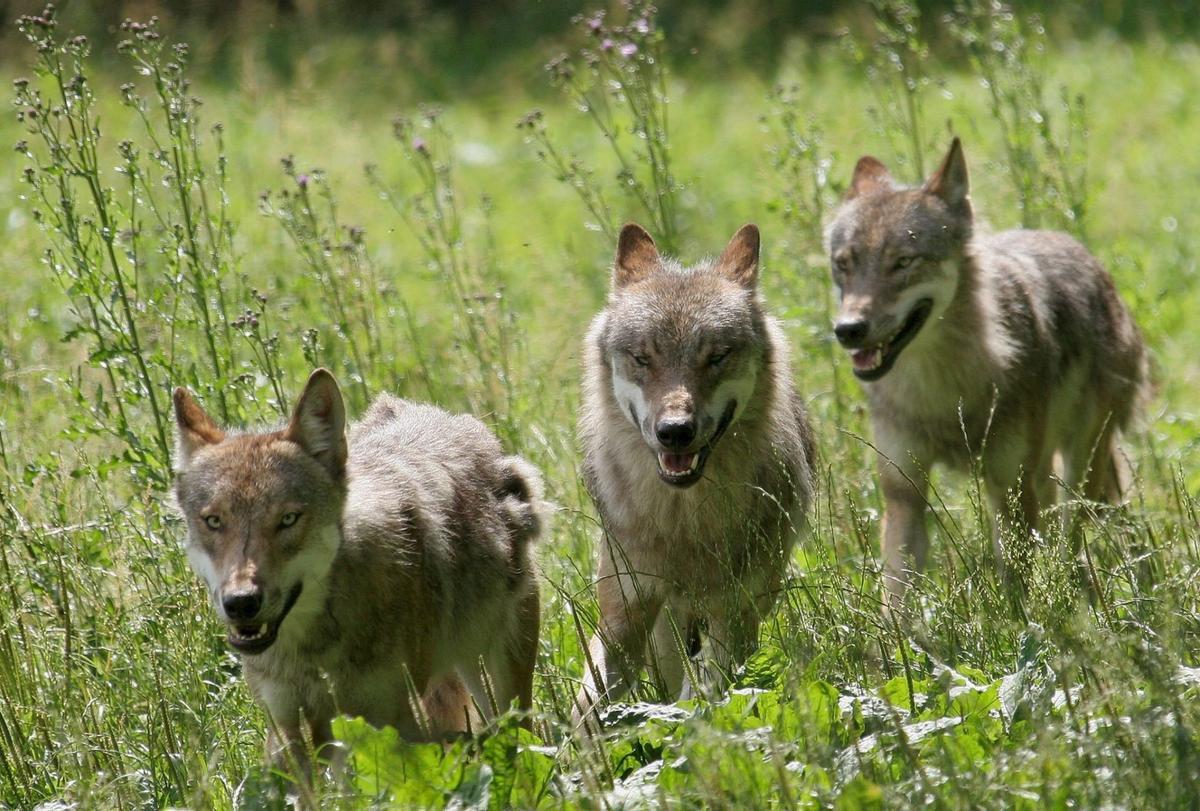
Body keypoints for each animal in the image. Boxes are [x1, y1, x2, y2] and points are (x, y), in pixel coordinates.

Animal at [172, 369, 543, 770]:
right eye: (213, 521)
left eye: (288, 519)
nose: (241, 602)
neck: (312, 648)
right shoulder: (287, 724)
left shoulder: (386, 721)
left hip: (500, 688)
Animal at [572, 223, 815, 727]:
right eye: (642, 358)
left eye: (716, 357)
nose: (674, 432)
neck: (684, 521)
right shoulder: (622, 614)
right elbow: (586, 708)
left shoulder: (735, 613)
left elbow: (700, 695)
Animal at [826, 137, 1147, 611]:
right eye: (845, 264)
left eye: (903, 262)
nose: (848, 330)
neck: (943, 390)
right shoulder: (904, 494)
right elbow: (897, 597)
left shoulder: (1008, 489)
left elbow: (1016, 589)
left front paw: (1024, 628)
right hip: (1043, 474)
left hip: (1077, 471)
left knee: (1071, 541)